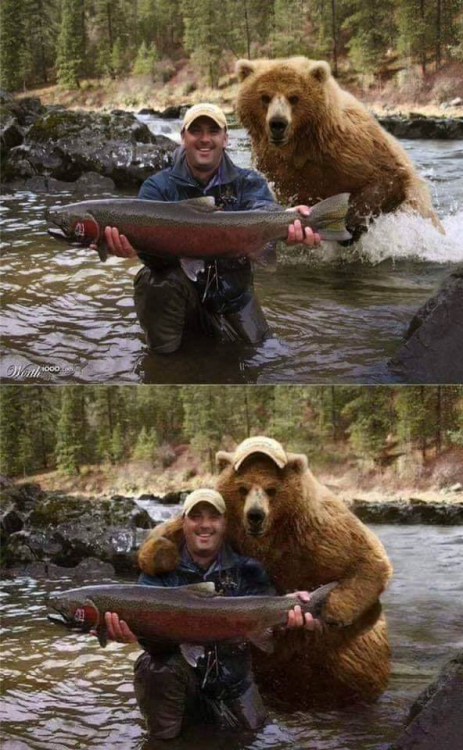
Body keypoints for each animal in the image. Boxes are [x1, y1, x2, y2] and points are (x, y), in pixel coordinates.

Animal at [138, 437, 393, 709]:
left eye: (271, 489)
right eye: (243, 488)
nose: (255, 515)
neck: (270, 538)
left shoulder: (318, 530)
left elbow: (369, 559)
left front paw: (332, 610)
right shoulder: (233, 527)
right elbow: (162, 535)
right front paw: (162, 553)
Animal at [235, 56, 443, 240]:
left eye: (294, 97)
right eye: (265, 97)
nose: (278, 123)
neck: (302, 146)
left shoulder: (352, 149)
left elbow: (386, 178)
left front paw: (348, 223)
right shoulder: (276, 168)